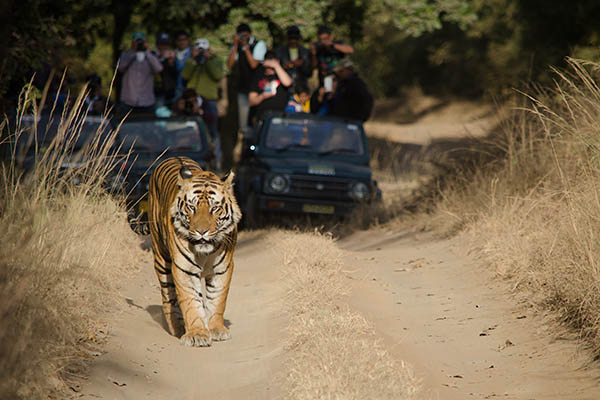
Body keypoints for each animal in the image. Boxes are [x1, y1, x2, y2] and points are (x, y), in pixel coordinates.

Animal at [147, 156, 241, 346]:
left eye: (214, 208)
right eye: (192, 207)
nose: (201, 231)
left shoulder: (223, 268)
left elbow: (217, 300)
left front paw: (216, 329)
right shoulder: (184, 269)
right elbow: (190, 302)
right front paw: (197, 334)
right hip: (161, 258)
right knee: (168, 297)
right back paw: (176, 327)